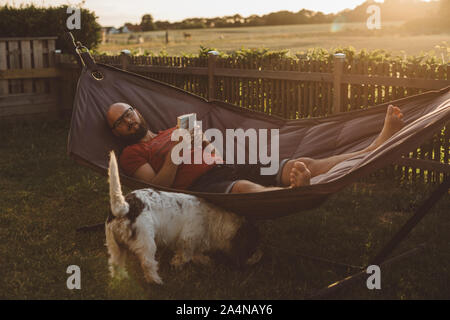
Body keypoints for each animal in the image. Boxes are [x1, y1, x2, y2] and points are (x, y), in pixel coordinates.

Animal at [105, 151, 262, 284]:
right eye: (252, 244)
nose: (258, 259)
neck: (214, 220)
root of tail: (124, 207)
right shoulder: (188, 238)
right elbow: (186, 254)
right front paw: (178, 263)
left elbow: (196, 253)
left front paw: (204, 260)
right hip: (146, 242)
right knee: (148, 263)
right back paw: (156, 281)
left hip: (114, 245)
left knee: (115, 263)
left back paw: (120, 278)